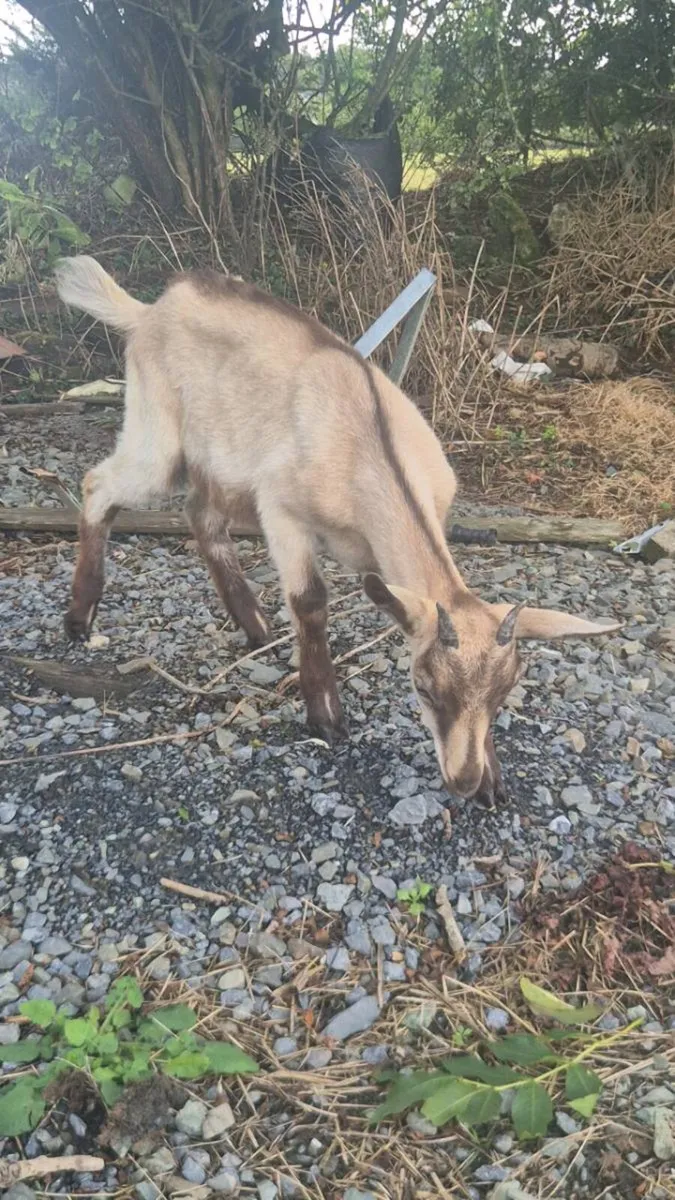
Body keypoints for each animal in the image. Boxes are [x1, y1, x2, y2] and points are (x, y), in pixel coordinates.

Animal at [55, 256, 621, 806]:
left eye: (504, 696)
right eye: (423, 687)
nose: (462, 781)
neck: (368, 452)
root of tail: (148, 312)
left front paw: (493, 779)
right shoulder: (282, 510)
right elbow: (310, 600)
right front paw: (326, 715)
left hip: (221, 460)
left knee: (201, 514)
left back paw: (254, 625)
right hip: (158, 432)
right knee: (99, 485)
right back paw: (80, 617)